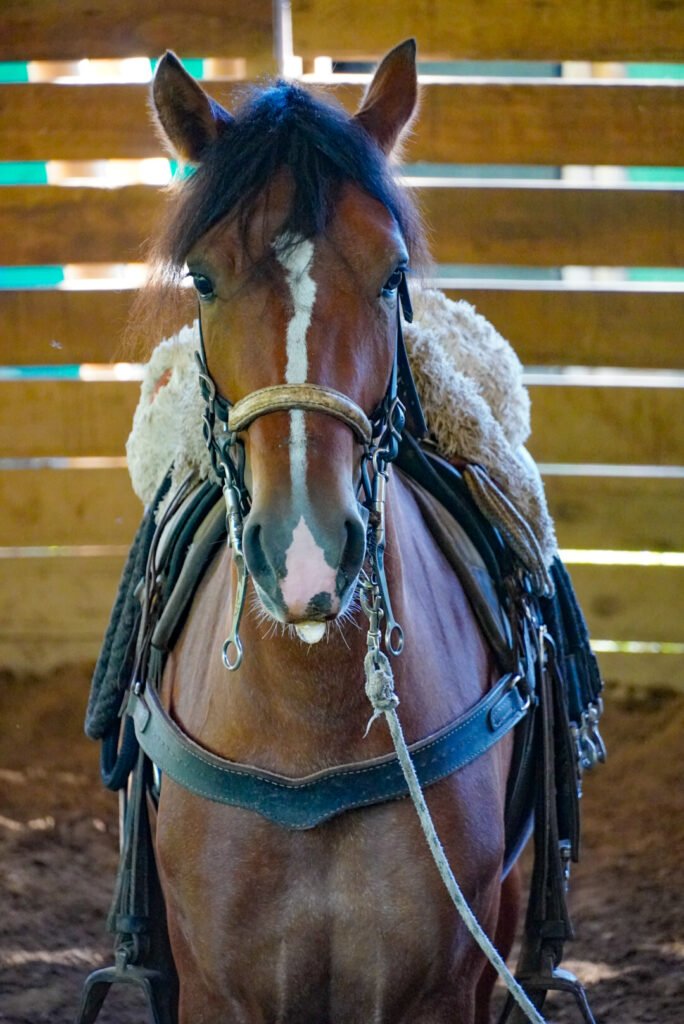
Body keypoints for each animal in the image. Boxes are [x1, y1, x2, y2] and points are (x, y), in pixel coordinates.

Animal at [143, 39, 522, 1023]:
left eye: (391, 275)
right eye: (203, 278)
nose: (305, 552)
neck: (308, 721)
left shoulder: (443, 992)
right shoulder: (215, 993)